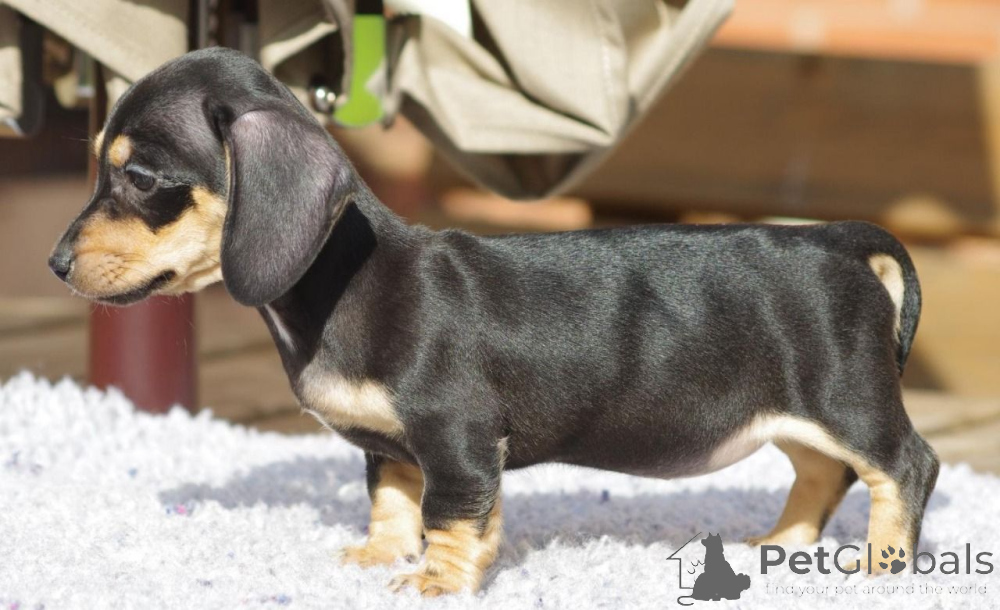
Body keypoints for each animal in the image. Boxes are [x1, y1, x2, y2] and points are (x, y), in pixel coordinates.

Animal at [49, 48, 939, 596]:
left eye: (138, 176)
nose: (55, 264)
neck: (347, 283)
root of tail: (839, 238)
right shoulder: (395, 449)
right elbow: (393, 503)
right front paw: (376, 557)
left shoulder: (458, 439)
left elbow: (452, 517)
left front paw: (435, 581)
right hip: (801, 416)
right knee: (821, 473)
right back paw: (782, 544)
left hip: (848, 401)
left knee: (906, 466)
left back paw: (881, 566)